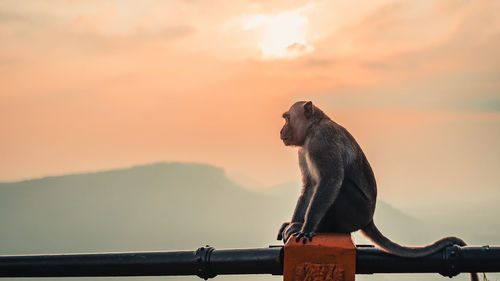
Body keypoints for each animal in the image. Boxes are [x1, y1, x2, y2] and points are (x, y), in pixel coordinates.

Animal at [278, 101, 476, 278]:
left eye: (287, 118)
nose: (281, 131)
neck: (312, 129)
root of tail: (369, 219)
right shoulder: (303, 151)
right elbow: (310, 185)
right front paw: (294, 222)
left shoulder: (322, 141)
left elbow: (330, 180)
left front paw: (306, 227)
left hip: (357, 212)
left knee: (342, 186)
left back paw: (321, 228)